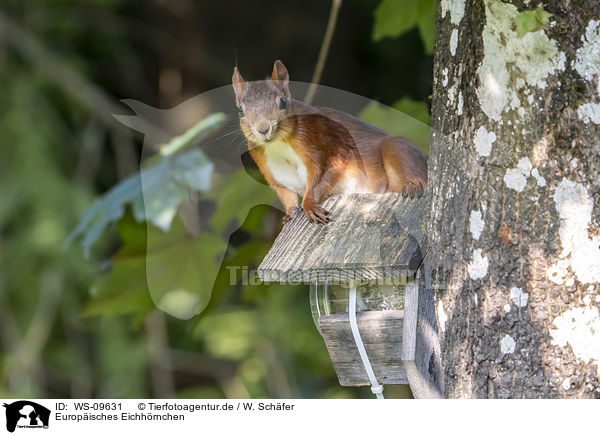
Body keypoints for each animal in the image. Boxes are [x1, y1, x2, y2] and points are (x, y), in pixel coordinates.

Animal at [232, 60, 428, 225]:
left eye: (282, 103)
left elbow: (323, 175)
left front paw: (310, 205)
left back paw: (413, 185)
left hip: (397, 149)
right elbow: (286, 194)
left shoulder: (325, 145)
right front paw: (288, 214)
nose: (263, 129)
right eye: (240, 111)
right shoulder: (270, 167)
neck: (279, 145)